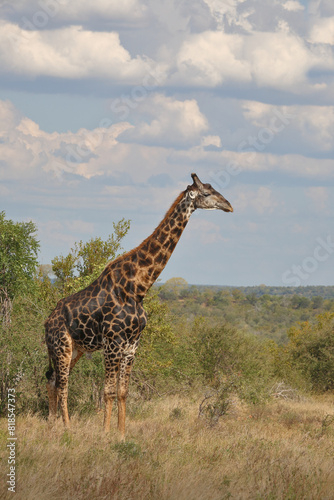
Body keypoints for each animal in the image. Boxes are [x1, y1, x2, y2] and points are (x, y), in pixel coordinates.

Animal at [44, 173, 232, 438]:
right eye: (206, 193)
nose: (229, 206)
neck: (138, 287)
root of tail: (46, 322)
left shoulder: (132, 344)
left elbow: (123, 392)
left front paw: (122, 434)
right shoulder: (113, 343)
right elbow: (108, 391)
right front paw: (105, 434)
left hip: (74, 349)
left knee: (52, 379)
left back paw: (52, 422)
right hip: (62, 345)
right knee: (62, 384)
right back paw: (67, 427)